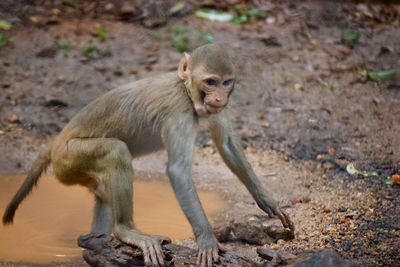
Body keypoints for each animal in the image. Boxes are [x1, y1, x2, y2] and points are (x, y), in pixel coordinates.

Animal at [3, 44, 294, 267]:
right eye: (210, 82)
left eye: (226, 82)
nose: (220, 97)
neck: (186, 91)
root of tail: (56, 142)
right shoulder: (179, 112)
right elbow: (178, 171)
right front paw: (207, 240)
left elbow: (227, 144)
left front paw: (267, 201)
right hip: (69, 159)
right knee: (116, 151)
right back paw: (125, 231)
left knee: (103, 190)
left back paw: (98, 240)